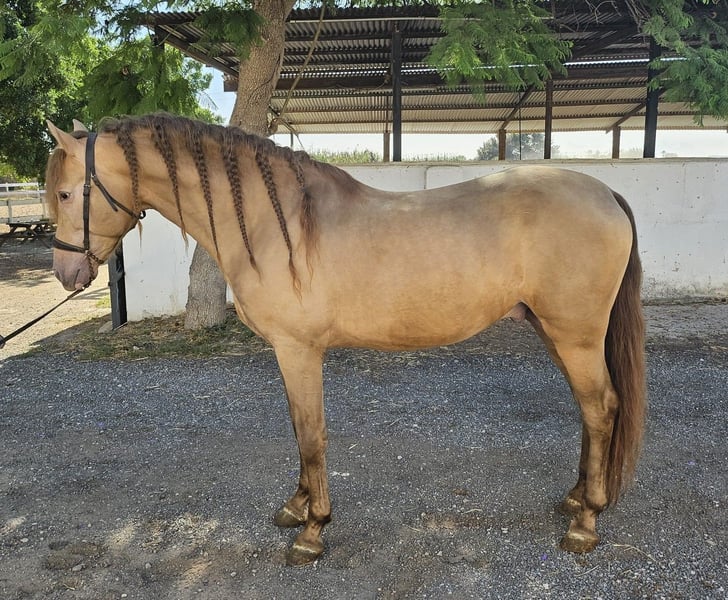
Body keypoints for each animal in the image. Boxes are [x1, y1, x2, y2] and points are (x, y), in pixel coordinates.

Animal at [45, 113, 645, 566]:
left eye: (67, 192)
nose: (67, 275)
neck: (276, 221)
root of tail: (607, 193)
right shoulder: (288, 354)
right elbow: (297, 431)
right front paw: (295, 506)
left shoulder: (299, 350)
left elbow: (312, 436)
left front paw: (312, 531)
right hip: (556, 333)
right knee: (590, 410)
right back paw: (574, 500)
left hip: (576, 336)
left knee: (601, 408)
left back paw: (586, 523)